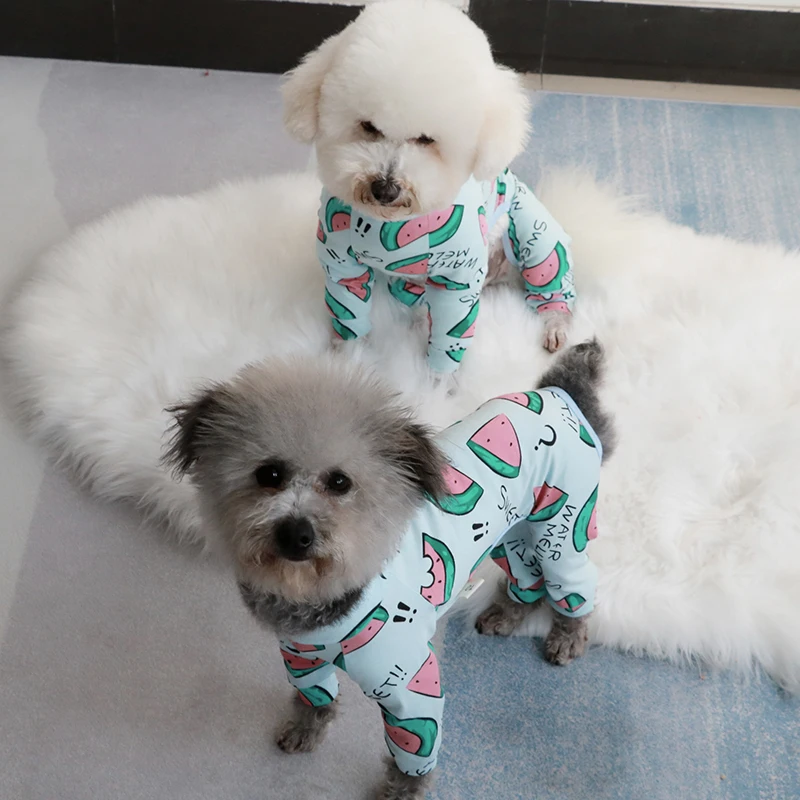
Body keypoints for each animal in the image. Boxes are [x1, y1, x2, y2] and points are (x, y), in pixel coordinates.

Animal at [165, 340, 614, 799]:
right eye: (268, 473)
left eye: (340, 482)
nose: (296, 534)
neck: (328, 598)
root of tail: (561, 393)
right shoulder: (302, 661)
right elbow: (314, 702)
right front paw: (305, 732)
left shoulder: (412, 689)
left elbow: (411, 756)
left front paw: (401, 793)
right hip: (514, 536)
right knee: (529, 580)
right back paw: (505, 616)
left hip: (563, 530)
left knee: (576, 588)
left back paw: (567, 638)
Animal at [282, 0, 577, 374]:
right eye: (368, 126)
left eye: (426, 140)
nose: (385, 189)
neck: (390, 223)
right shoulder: (341, 261)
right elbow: (349, 314)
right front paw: (346, 363)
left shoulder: (459, 279)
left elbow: (449, 336)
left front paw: (436, 381)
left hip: (534, 234)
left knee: (551, 285)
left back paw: (554, 324)